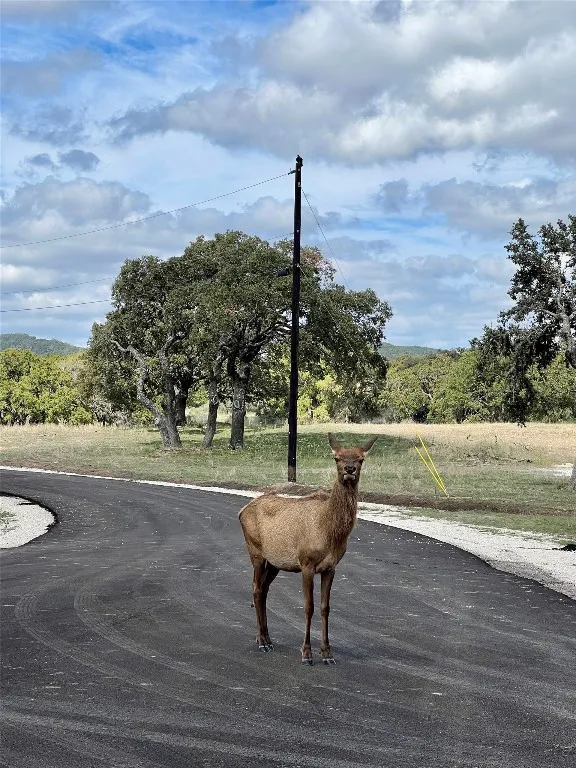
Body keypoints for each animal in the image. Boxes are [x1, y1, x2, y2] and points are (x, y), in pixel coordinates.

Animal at [238, 433, 378, 665]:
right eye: (337, 458)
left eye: (361, 459)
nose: (349, 469)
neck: (329, 531)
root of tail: (241, 512)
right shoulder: (306, 563)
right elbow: (308, 606)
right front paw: (306, 653)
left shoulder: (331, 567)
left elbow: (325, 608)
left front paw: (327, 653)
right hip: (255, 551)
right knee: (256, 589)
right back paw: (262, 642)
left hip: (275, 562)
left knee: (263, 590)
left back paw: (265, 637)